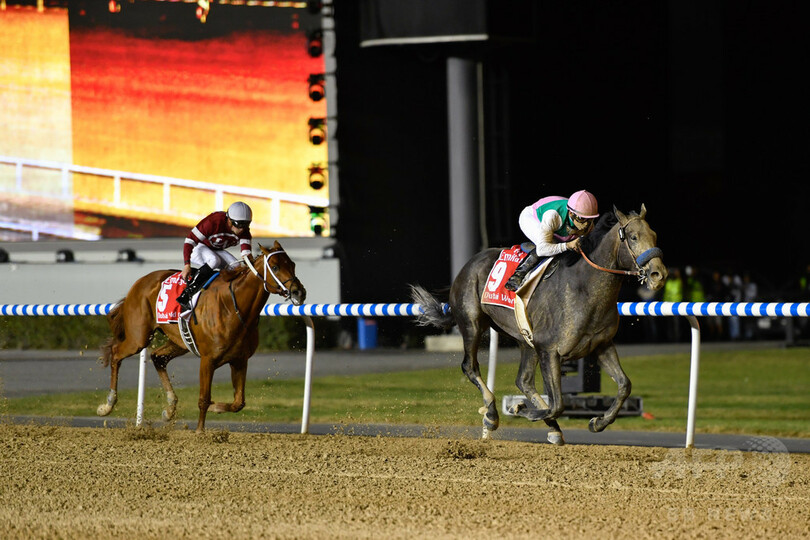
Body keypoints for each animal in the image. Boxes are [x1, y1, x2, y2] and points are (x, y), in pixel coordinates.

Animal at [97, 241, 306, 433]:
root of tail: (141, 281)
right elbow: (204, 399)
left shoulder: (239, 360)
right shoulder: (208, 360)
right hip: (138, 337)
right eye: (276, 267)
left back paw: (169, 409)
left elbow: (238, 402)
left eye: (293, 264)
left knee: (158, 357)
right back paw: (108, 405)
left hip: (180, 342)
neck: (234, 308)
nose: (299, 292)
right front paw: (200, 431)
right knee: (116, 354)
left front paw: (216, 408)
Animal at [411, 205, 667, 445]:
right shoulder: (549, 349)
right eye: (633, 237)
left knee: (523, 380)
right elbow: (558, 404)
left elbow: (624, 385)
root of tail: (468, 265)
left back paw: (553, 429)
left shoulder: (601, 345)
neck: (583, 288)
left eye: (654, 235)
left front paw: (598, 422)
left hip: (525, 340)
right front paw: (519, 408)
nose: (659, 274)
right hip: (472, 323)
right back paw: (492, 415)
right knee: (470, 366)